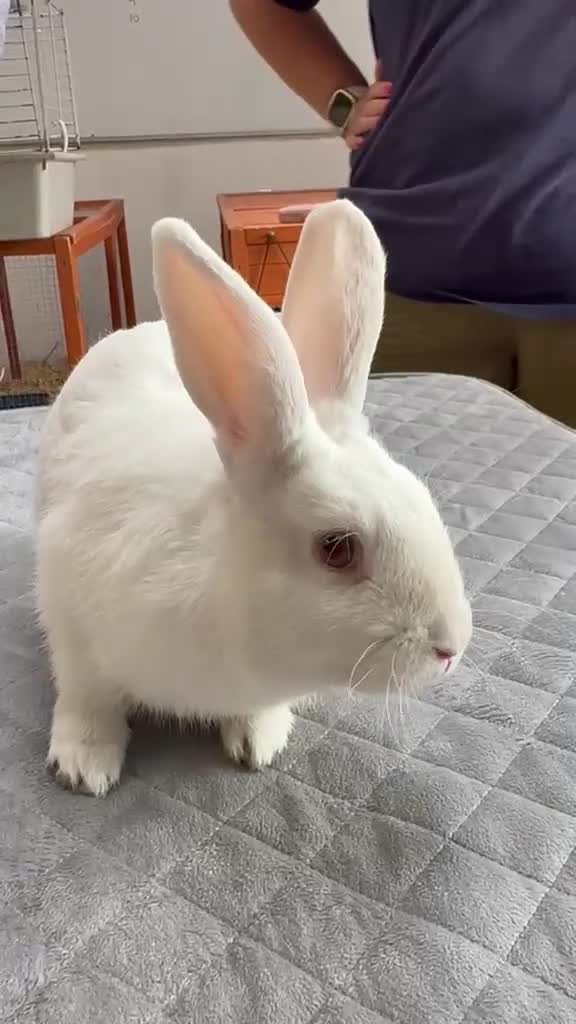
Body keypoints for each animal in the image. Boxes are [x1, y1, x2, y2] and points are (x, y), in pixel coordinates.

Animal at [36, 199, 472, 796]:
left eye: (425, 500)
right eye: (337, 549)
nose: (451, 648)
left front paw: (259, 741)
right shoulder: (69, 617)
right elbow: (86, 697)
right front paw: (83, 767)